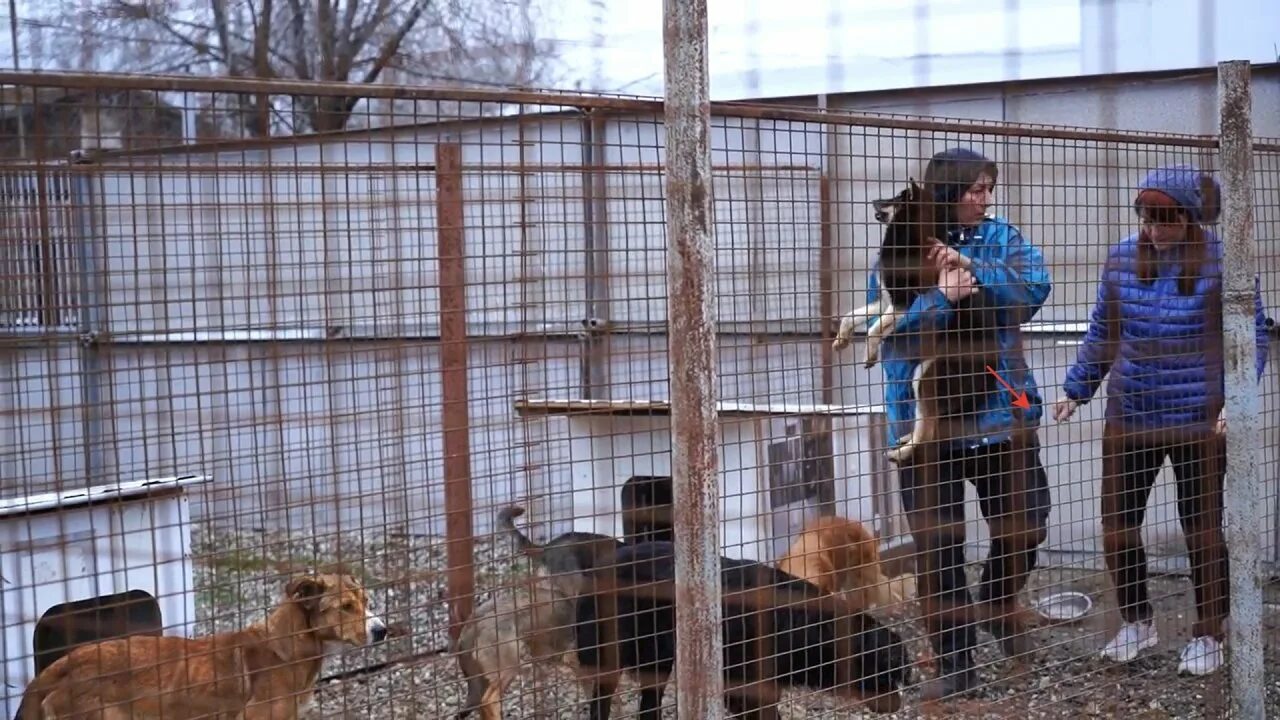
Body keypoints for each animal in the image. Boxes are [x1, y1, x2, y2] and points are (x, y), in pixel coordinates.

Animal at [570, 538, 911, 717]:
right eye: (886, 674)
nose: (896, 704)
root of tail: (596, 569)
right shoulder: (745, 685)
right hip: (608, 657)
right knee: (600, 702)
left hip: (658, 662)